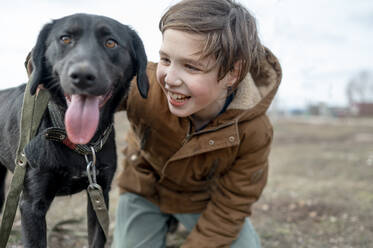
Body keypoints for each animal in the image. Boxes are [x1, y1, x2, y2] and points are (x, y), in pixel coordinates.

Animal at [0, 13, 148, 248]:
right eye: (65, 39)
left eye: (111, 43)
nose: (82, 76)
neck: (78, 143)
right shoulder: (31, 206)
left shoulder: (99, 193)